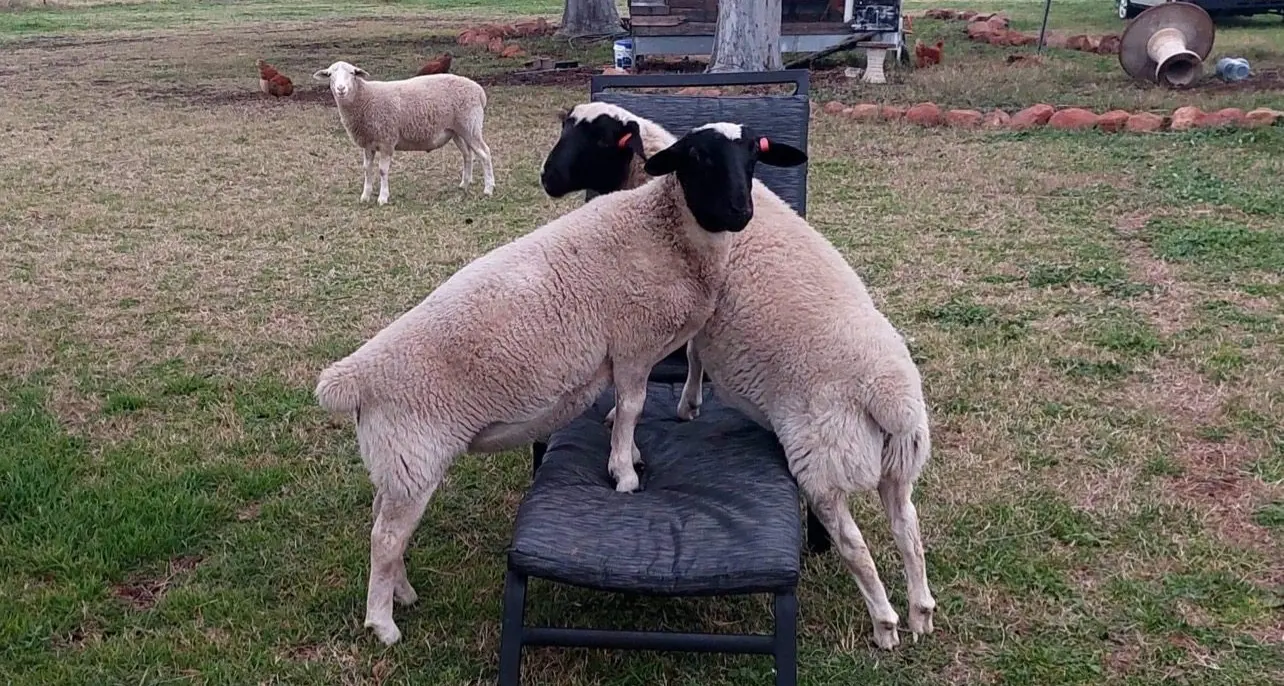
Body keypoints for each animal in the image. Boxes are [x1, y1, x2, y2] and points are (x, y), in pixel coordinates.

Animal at [312, 60, 495, 205]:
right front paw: (365, 195)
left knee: (484, 153)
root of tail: (479, 90)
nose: (341, 89)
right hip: (457, 131)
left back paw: (488, 188)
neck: (364, 99)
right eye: (330, 75)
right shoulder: (368, 143)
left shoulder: (387, 139)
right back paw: (465, 184)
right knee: (467, 154)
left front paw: (383, 198)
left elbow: (382, 170)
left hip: (470, 125)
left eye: (352, 73)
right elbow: (367, 169)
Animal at [315, 121, 808, 646]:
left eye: (754, 155)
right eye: (696, 156)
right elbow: (632, 407)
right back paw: (383, 624)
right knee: (385, 538)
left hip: (396, 460)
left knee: (383, 524)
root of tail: (353, 378)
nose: (740, 212)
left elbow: (626, 409)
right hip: (414, 453)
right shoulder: (633, 340)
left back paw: (402, 593)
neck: (665, 233)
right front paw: (624, 473)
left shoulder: (631, 350)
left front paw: (629, 454)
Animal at [539, 103, 935, 651]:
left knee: (854, 543)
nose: (547, 177)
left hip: (821, 463)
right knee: (909, 528)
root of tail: (888, 396)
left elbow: (676, 363)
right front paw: (689, 404)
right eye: (565, 127)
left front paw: (663, 409)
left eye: (601, 140)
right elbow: (694, 358)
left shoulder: (686, 313)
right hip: (899, 462)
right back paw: (920, 612)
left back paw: (885, 623)